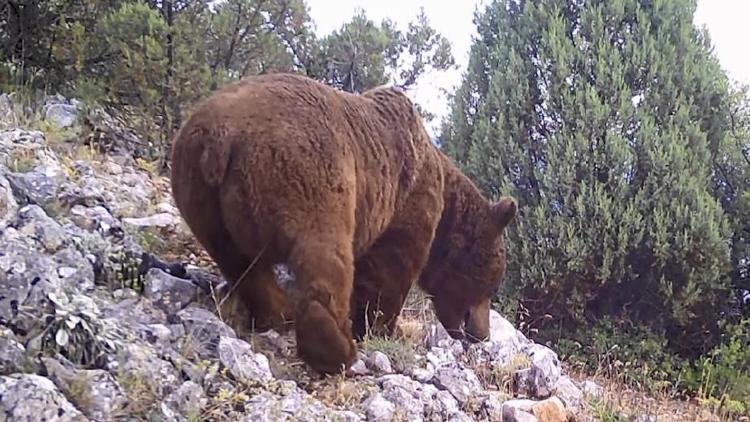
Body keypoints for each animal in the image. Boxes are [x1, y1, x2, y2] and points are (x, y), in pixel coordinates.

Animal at [170, 73, 516, 376]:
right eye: (490, 284)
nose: (481, 334)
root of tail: (221, 136)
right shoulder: (407, 199)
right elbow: (389, 269)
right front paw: (381, 328)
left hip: (198, 193)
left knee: (241, 264)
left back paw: (278, 312)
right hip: (307, 170)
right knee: (323, 253)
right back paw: (335, 349)